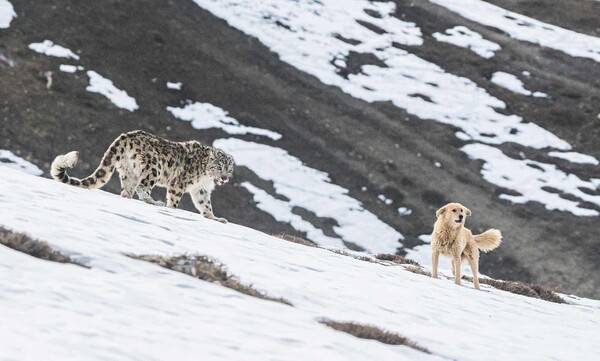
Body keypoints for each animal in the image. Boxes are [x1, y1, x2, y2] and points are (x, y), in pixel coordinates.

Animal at [51, 129, 234, 222]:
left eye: (230, 169)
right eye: (219, 167)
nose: (224, 177)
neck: (206, 177)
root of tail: (125, 136)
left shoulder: (201, 190)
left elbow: (205, 205)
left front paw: (214, 217)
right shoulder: (179, 184)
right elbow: (174, 199)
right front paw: (172, 209)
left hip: (128, 171)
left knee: (127, 191)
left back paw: (130, 197)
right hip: (154, 167)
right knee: (142, 186)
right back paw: (154, 202)